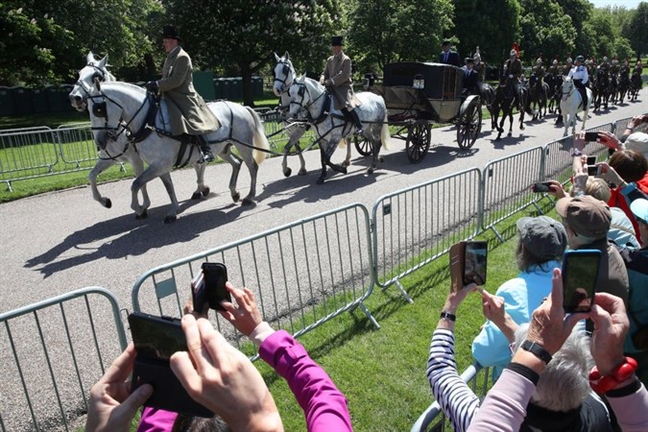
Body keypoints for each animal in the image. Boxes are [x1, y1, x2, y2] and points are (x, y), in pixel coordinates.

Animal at [70, 52, 151, 211]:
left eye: (96, 76)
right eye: (79, 73)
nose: (74, 97)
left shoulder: (136, 159)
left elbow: (141, 182)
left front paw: (143, 206)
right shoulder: (109, 159)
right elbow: (92, 176)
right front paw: (104, 201)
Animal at [86, 80, 268, 223]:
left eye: (98, 109)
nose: (100, 142)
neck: (149, 122)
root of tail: (241, 107)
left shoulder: (158, 163)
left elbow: (136, 184)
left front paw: (138, 208)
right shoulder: (159, 166)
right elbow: (168, 188)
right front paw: (172, 211)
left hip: (244, 146)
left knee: (252, 167)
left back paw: (249, 196)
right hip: (222, 149)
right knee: (237, 163)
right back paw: (234, 193)